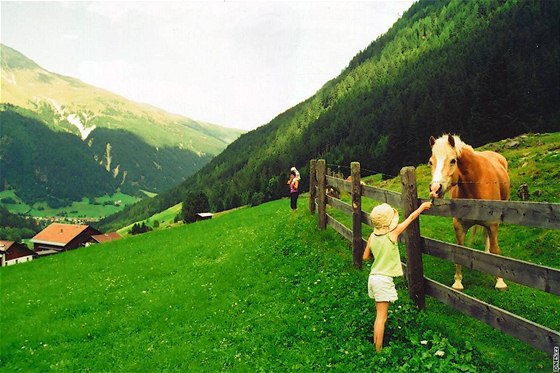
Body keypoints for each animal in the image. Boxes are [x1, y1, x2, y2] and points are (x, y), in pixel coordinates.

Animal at [426, 134, 510, 290]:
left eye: (453, 161)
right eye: (430, 162)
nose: (435, 189)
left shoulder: (493, 224)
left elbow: (496, 250)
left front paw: (500, 281)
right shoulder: (459, 225)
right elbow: (459, 250)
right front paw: (458, 282)